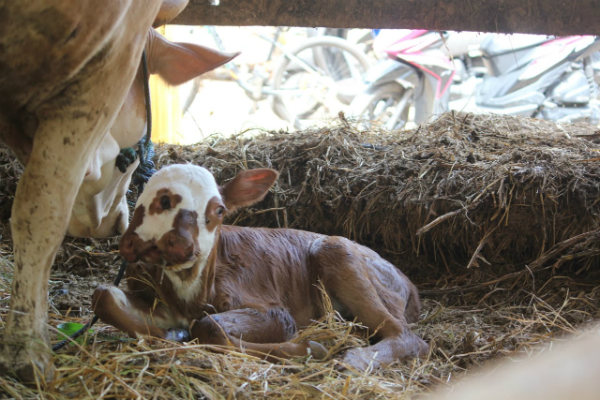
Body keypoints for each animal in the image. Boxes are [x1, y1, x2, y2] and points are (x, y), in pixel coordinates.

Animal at [92, 164, 426, 370]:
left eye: (219, 210)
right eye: (158, 200)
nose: (181, 244)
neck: (191, 297)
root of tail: (409, 283)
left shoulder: (273, 309)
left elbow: (210, 326)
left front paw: (310, 347)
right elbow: (104, 297)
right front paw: (171, 335)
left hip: (337, 251)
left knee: (408, 335)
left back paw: (353, 359)